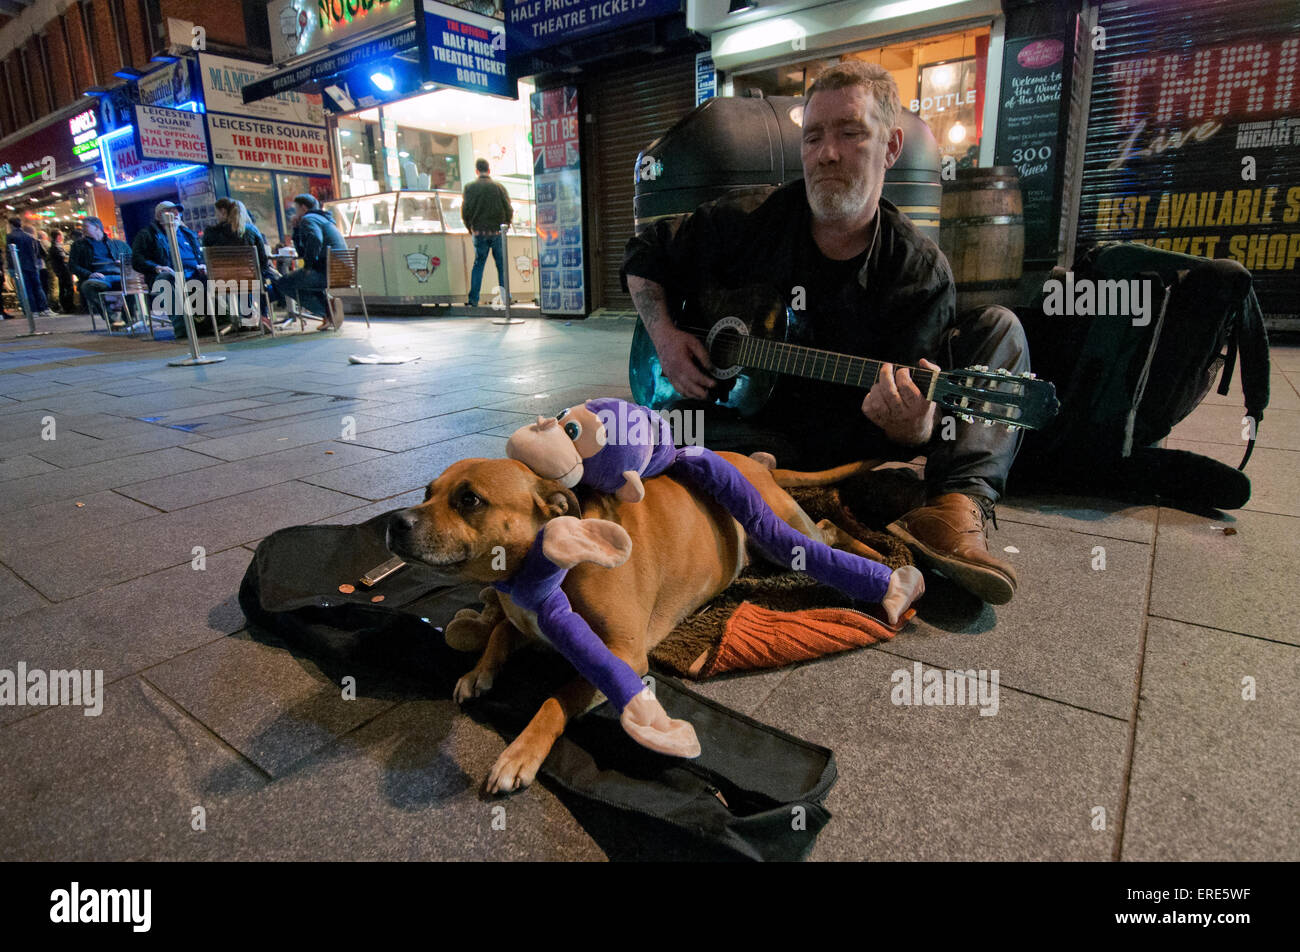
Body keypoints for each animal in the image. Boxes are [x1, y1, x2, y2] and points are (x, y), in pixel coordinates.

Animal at [387, 452, 915, 795]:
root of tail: (751, 459)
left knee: (828, 530)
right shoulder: (521, 617)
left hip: (784, 533)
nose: (394, 521)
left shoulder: (620, 653)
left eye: (470, 500)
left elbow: (556, 698)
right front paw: (479, 670)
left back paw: (878, 558)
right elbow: (498, 631)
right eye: (428, 492)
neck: (535, 570)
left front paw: (521, 752)